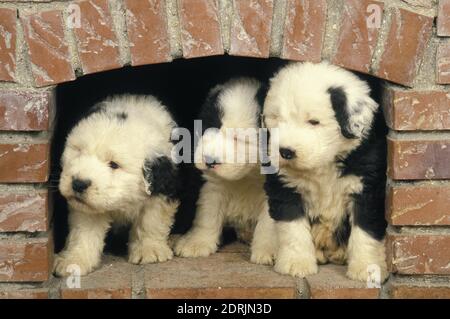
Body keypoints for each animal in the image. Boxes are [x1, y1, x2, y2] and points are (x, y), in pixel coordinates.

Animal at [53, 95, 178, 278]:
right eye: (79, 151)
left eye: (114, 164)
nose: (78, 183)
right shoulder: (89, 208)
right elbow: (84, 232)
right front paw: (74, 260)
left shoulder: (162, 189)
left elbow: (151, 220)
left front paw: (149, 250)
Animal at [174, 78, 276, 264]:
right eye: (210, 126)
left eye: (239, 138)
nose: (209, 160)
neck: (247, 175)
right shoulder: (212, 186)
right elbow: (207, 215)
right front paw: (196, 243)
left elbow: (269, 223)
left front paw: (269, 250)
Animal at [264, 62, 386, 282]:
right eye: (276, 118)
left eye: (314, 121)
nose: (285, 152)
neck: (324, 164)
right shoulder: (285, 186)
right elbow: (292, 227)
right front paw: (296, 263)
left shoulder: (367, 187)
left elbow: (365, 230)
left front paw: (366, 268)